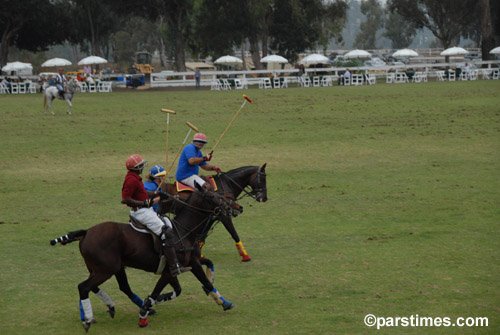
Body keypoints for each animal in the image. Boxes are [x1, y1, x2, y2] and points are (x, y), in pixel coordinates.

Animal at [49, 188, 241, 332]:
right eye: (215, 197)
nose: (238, 207)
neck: (183, 230)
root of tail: (86, 232)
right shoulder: (173, 270)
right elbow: (162, 291)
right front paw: (144, 315)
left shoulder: (186, 264)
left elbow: (198, 279)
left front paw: (223, 301)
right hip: (105, 269)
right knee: (84, 287)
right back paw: (88, 320)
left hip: (108, 268)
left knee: (110, 287)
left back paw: (111, 307)